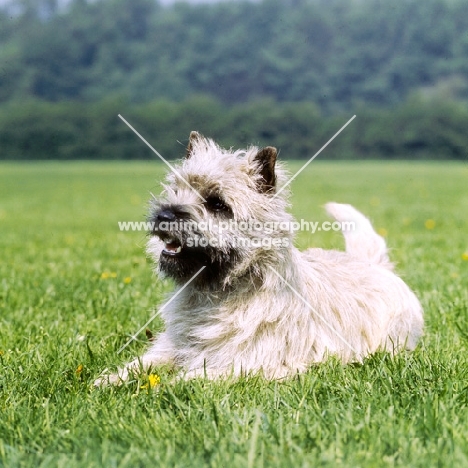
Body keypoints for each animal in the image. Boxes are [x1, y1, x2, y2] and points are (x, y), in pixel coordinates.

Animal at [93, 131, 422, 384]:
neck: (218, 293)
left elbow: (191, 378)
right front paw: (109, 381)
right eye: (176, 190)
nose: (164, 216)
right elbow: (144, 363)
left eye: (217, 203)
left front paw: (159, 388)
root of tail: (373, 263)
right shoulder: (172, 346)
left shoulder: (248, 362)